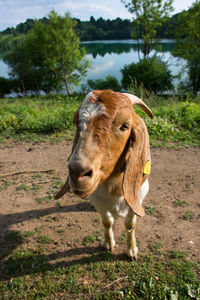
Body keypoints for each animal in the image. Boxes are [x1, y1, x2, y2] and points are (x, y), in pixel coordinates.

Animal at [55, 89, 152, 260]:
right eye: (76, 122)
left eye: (124, 126)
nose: (77, 172)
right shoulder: (97, 200)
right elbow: (107, 221)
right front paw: (108, 244)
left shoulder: (138, 197)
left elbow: (130, 224)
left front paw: (131, 251)